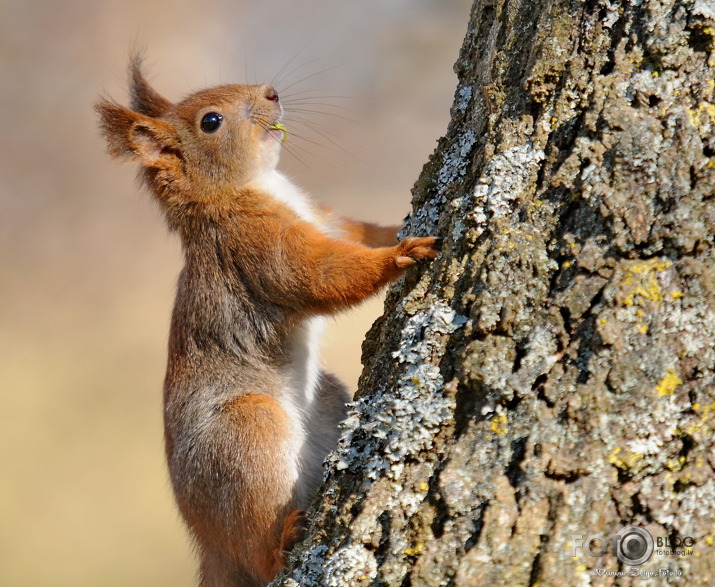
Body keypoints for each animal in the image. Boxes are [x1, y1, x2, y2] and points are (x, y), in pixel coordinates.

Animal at [97, 56, 440, 587]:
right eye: (211, 121)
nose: (272, 93)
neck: (251, 186)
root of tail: (211, 547)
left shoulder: (324, 219)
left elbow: (360, 232)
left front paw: (399, 227)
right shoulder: (256, 244)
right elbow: (320, 274)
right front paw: (400, 255)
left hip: (324, 402)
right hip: (244, 437)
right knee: (257, 544)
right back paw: (279, 544)